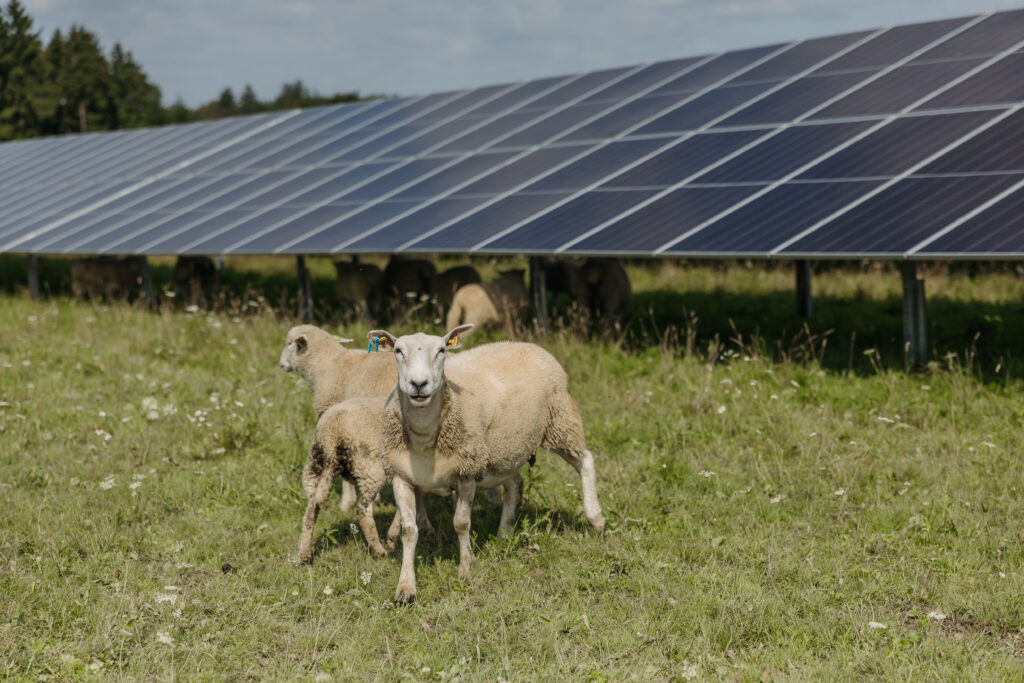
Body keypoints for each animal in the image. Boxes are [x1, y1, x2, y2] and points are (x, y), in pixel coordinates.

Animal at [367, 324, 606, 603]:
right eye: (397, 350)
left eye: (441, 350)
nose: (418, 384)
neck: (425, 437)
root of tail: (526, 343)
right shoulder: (400, 476)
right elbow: (409, 531)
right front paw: (405, 588)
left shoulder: (467, 472)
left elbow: (461, 523)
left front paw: (465, 569)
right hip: (508, 451)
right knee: (515, 486)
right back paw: (504, 535)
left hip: (560, 421)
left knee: (585, 461)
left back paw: (596, 519)